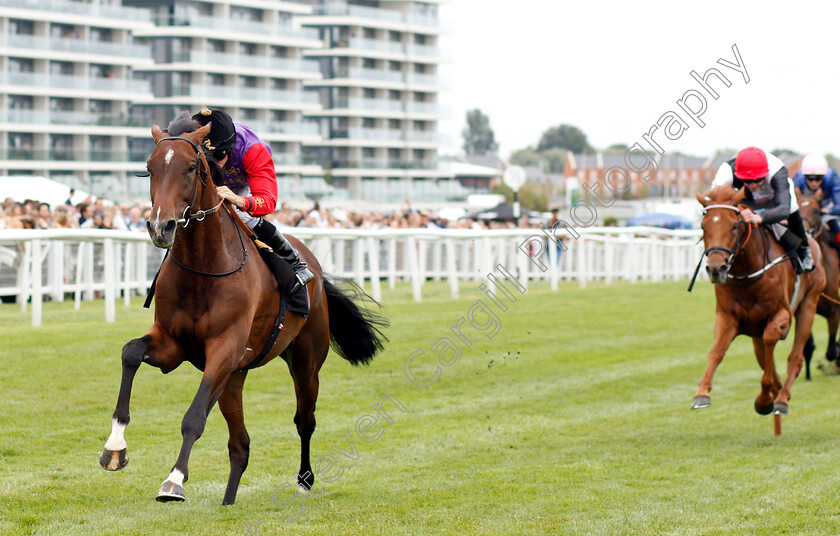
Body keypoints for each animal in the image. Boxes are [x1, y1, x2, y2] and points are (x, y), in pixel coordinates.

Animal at [98, 120, 388, 502]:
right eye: (150, 167)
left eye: (191, 167)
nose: (162, 227)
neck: (203, 268)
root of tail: (315, 269)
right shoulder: (172, 344)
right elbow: (130, 352)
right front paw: (114, 448)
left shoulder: (225, 347)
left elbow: (194, 416)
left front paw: (174, 480)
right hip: (234, 377)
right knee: (241, 444)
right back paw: (228, 499)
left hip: (305, 360)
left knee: (304, 420)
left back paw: (305, 479)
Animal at [692, 186, 824, 416]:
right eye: (703, 226)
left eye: (734, 226)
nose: (716, 269)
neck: (747, 272)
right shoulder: (727, 317)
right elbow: (716, 352)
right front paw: (702, 393)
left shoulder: (782, 314)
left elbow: (771, 339)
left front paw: (764, 400)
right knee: (764, 357)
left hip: (808, 304)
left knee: (795, 358)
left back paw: (781, 399)